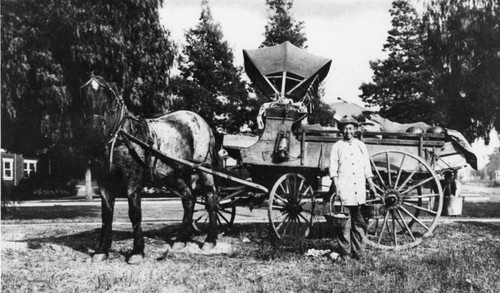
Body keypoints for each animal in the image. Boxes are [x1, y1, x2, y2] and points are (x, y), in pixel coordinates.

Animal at [81, 76, 220, 264]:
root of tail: (200, 120)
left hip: (204, 168)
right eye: (84, 95)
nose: (94, 130)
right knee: (188, 199)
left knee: (210, 199)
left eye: (109, 96)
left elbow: (134, 214)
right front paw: (102, 250)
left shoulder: (133, 182)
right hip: (174, 174)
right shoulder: (104, 182)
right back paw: (181, 240)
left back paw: (210, 240)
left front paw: (137, 251)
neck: (122, 137)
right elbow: (107, 215)